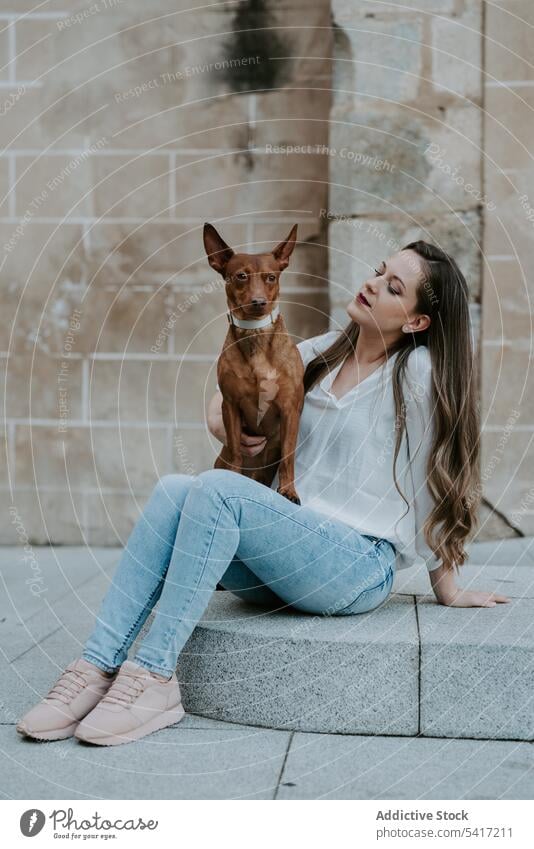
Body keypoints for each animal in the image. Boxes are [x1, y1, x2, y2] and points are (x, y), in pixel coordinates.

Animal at [203, 222, 306, 506]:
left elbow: (288, 457)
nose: (259, 302)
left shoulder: (290, 408)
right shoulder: (230, 405)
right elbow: (237, 452)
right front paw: (232, 478)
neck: (256, 336)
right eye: (241, 276)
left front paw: (289, 491)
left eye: (271, 277)